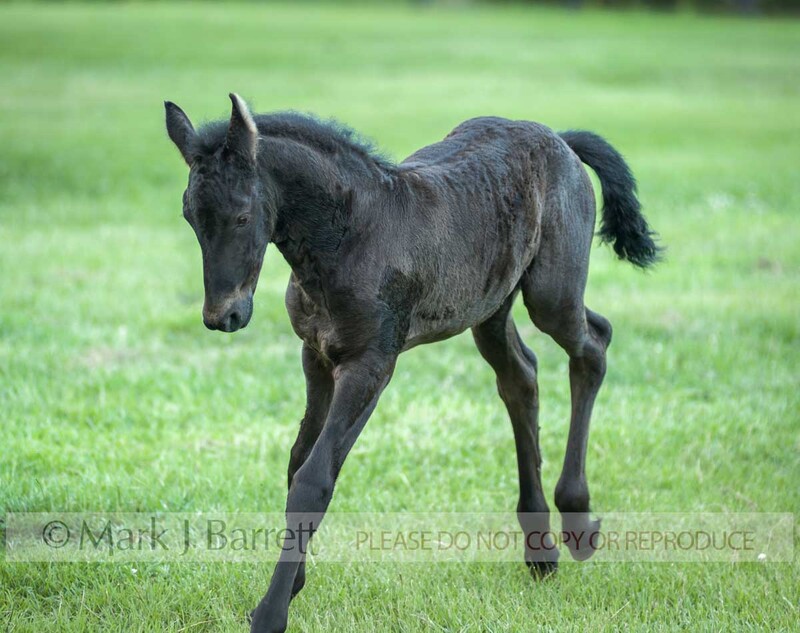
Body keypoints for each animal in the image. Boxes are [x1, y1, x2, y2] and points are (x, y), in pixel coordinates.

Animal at [165, 93, 660, 633]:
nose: (223, 316)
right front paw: (293, 584)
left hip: (551, 293)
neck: (347, 237)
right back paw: (540, 549)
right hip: (489, 308)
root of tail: (560, 139)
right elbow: (298, 461)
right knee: (521, 376)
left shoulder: (371, 363)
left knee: (593, 345)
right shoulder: (315, 357)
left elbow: (314, 478)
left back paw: (576, 520)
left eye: (241, 215)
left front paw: (272, 612)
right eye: (189, 216)